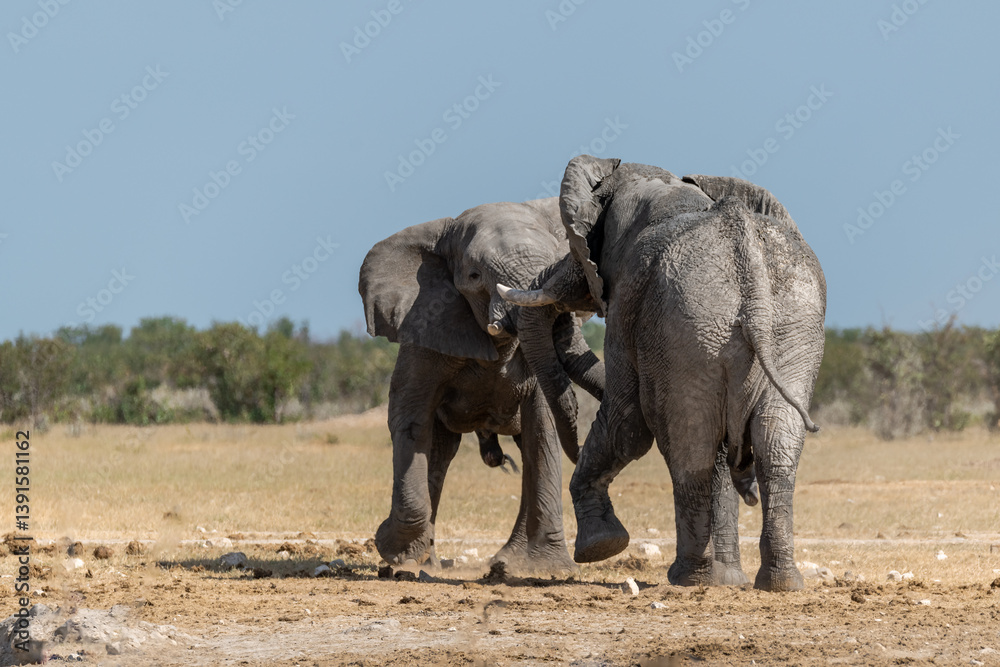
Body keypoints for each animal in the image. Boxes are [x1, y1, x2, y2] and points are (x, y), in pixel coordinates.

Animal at [358, 197, 605, 574]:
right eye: (475, 276)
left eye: (558, 262)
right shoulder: (424, 324)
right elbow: (410, 417)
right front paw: (394, 555)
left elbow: (542, 426)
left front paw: (548, 572)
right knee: (440, 451)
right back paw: (425, 566)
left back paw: (505, 565)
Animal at [501, 156, 825, 591]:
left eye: (580, 247)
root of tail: (746, 256)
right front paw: (729, 580)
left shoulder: (628, 302)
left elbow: (627, 423)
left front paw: (600, 547)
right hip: (790, 326)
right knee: (774, 445)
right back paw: (779, 582)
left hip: (692, 320)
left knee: (689, 446)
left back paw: (688, 576)